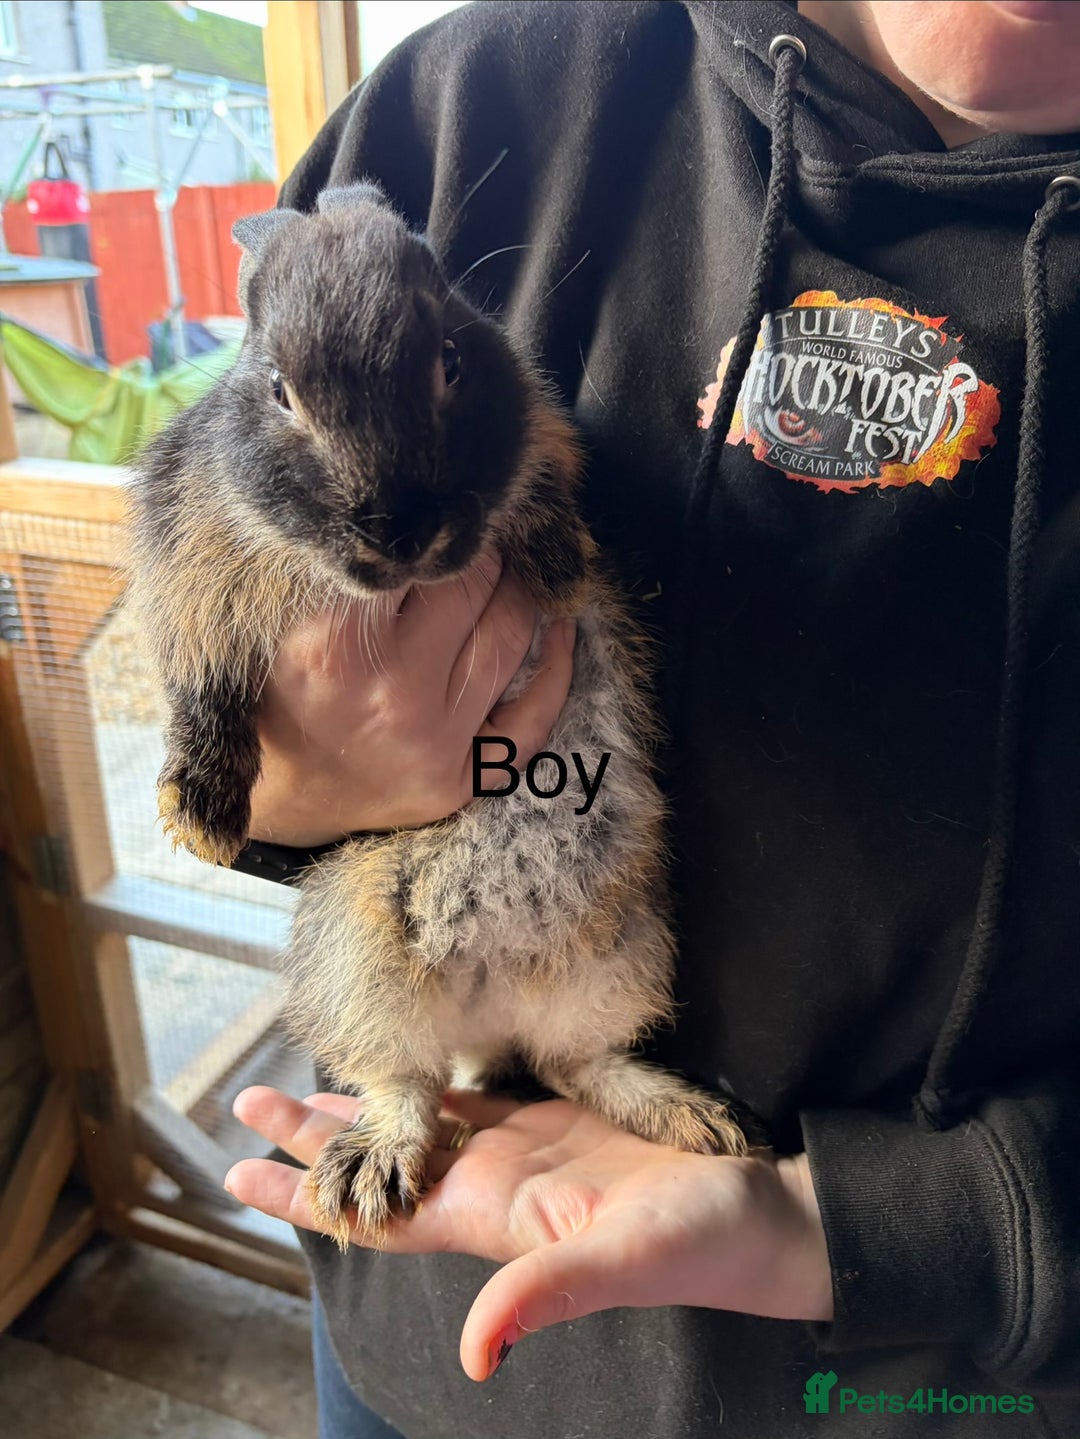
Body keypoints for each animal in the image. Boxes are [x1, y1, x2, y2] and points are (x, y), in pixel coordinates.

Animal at [126, 183, 748, 1247]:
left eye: (451, 357)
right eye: (280, 388)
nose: (401, 527)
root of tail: (489, 1008)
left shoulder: (538, 441)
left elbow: (543, 494)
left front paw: (556, 563)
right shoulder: (197, 574)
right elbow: (204, 690)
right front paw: (199, 816)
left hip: (620, 953)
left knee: (573, 1063)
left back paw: (692, 1119)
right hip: (361, 957)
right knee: (407, 1083)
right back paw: (368, 1169)